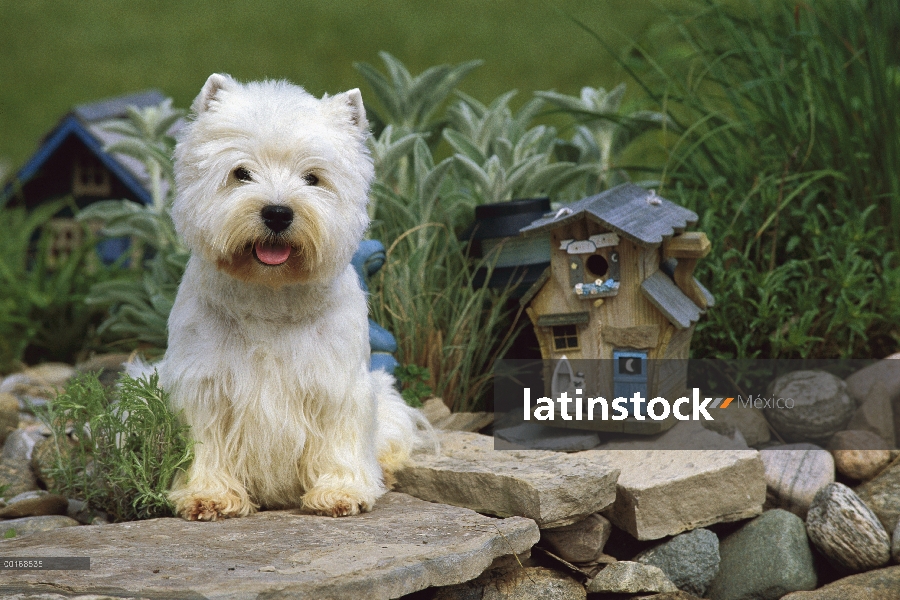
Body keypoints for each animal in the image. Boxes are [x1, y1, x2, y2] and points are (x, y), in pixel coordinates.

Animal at [157, 74, 428, 520]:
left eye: (312, 178)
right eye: (241, 173)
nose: (278, 213)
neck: (271, 294)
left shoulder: (337, 386)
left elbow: (339, 439)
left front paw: (340, 492)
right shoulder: (204, 385)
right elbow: (204, 442)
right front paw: (209, 495)